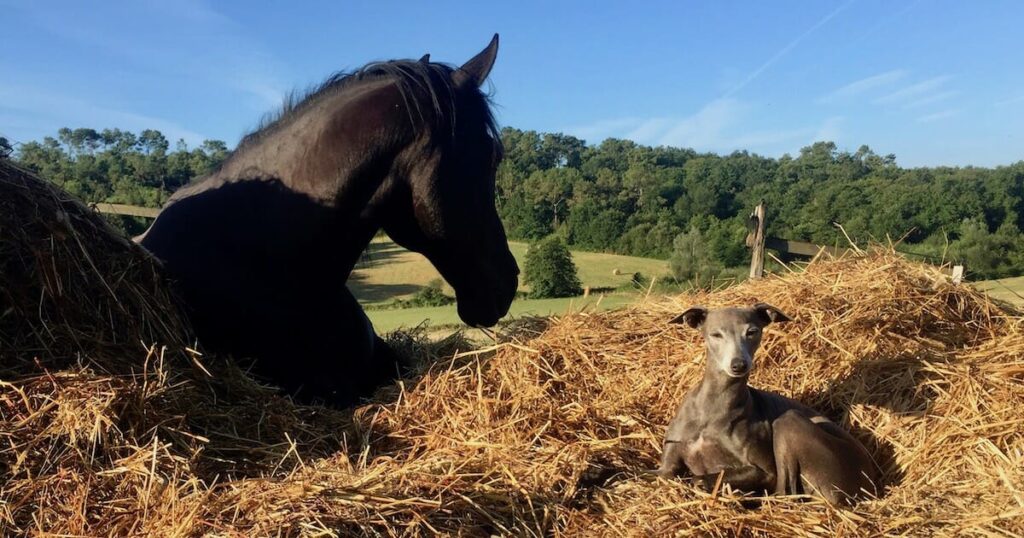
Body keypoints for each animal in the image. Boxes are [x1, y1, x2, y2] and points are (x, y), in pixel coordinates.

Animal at [663, 303, 880, 506]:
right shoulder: (666, 466)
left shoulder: (766, 472)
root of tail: (869, 482)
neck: (713, 405)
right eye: (716, 334)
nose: (738, 365)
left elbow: (700, 479)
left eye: (752, 332)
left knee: (785, 492)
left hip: (789, 422)